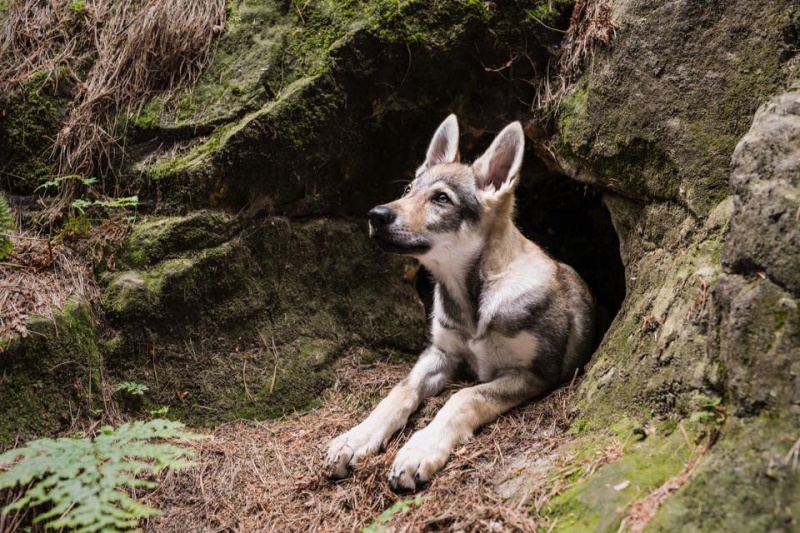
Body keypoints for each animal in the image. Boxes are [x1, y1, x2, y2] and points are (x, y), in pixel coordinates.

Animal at [324, 114, 592, 488]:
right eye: (408, 190)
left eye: (441, 198)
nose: (376, 215)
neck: (472, 304)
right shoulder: (441, 353)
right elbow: (399, 391)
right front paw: (357, 437)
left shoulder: (534, 373)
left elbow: (463, 397)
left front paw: (421, 448)